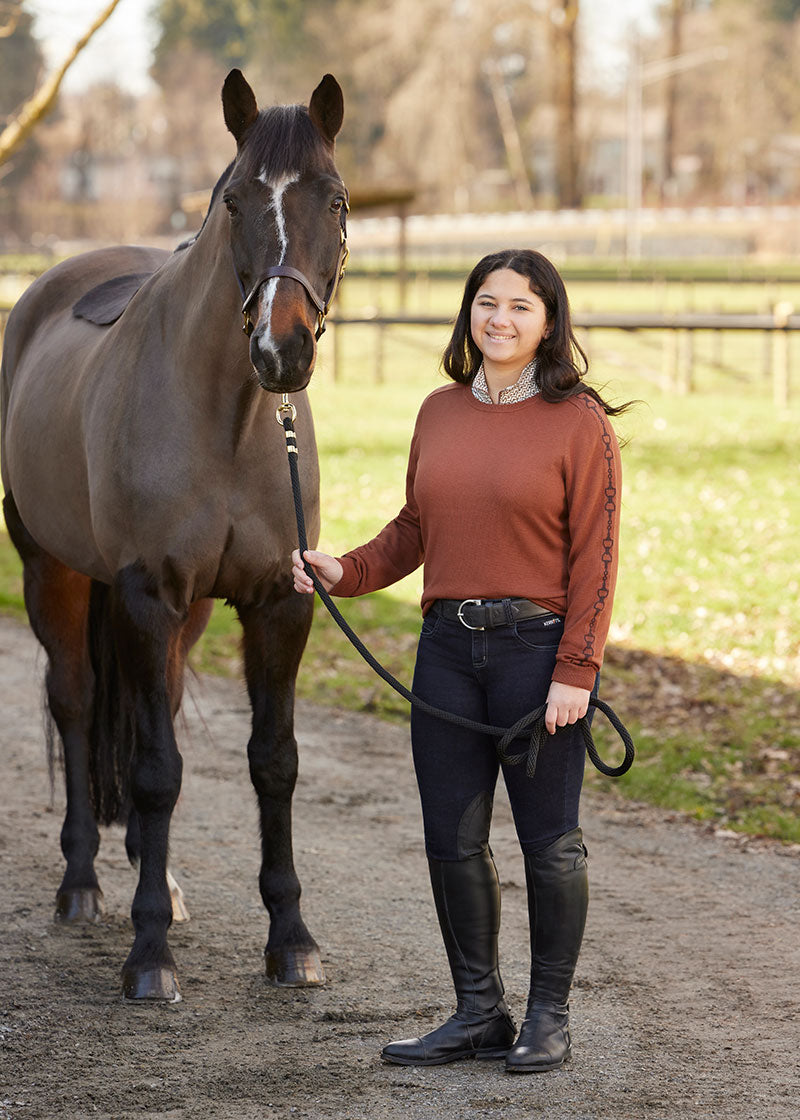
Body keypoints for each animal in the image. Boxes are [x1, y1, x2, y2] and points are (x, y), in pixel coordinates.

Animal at [0, 67, 349, 999]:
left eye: (336, 198)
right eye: (233, 200)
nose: (282, 351)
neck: (231, 421)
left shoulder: (277, 603)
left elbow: (274, 761)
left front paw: (292, 938)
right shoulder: (146, 595)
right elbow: (156, 772)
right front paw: (149, 952)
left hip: (185, 616)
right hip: (53, 574)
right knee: (78, 704)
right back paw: (83, 883)